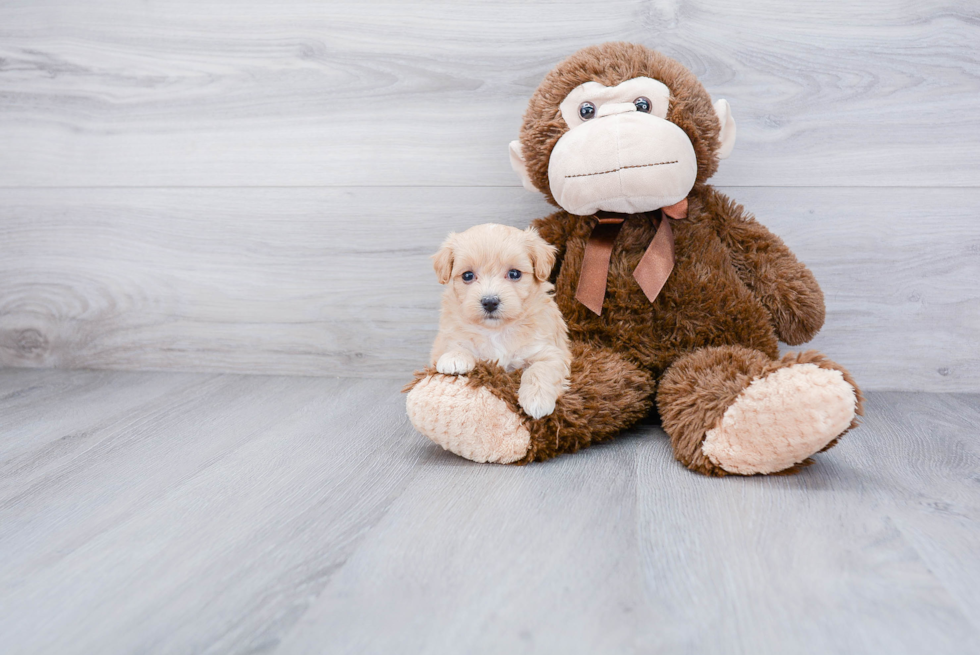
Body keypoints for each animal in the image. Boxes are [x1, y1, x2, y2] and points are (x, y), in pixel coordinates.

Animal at [430, 224, 576, 420]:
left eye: (514, 273)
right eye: (467, 275)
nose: (490, 302)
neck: (497, 330)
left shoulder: (549, 352)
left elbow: (539, 369)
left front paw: (537, 400)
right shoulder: (447, 337)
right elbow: (456, 343)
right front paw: (454, 357)